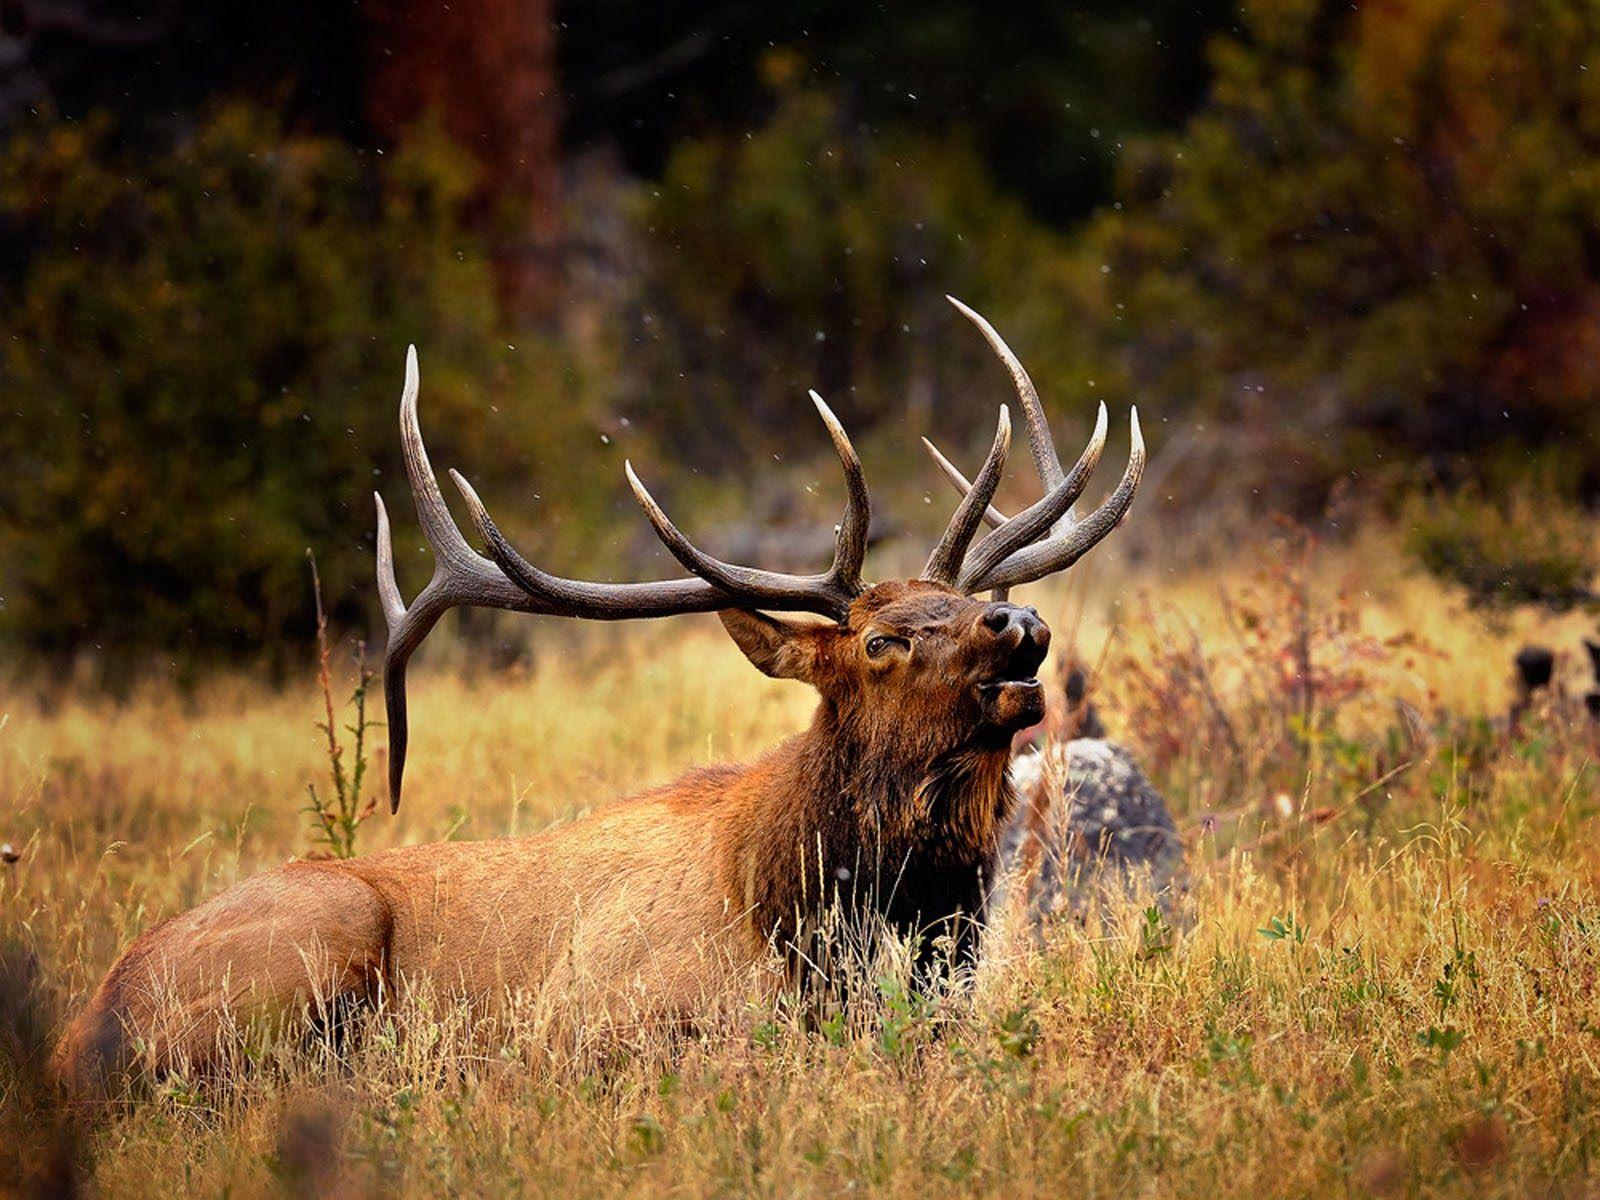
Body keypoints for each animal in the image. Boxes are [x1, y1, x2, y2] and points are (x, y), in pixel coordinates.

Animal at [52, 298, 1144, 1099]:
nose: (1016, 623)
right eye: (879, 641)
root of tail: (80, 1031)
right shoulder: (596, 1019)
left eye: (960, 604)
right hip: (311, 945)